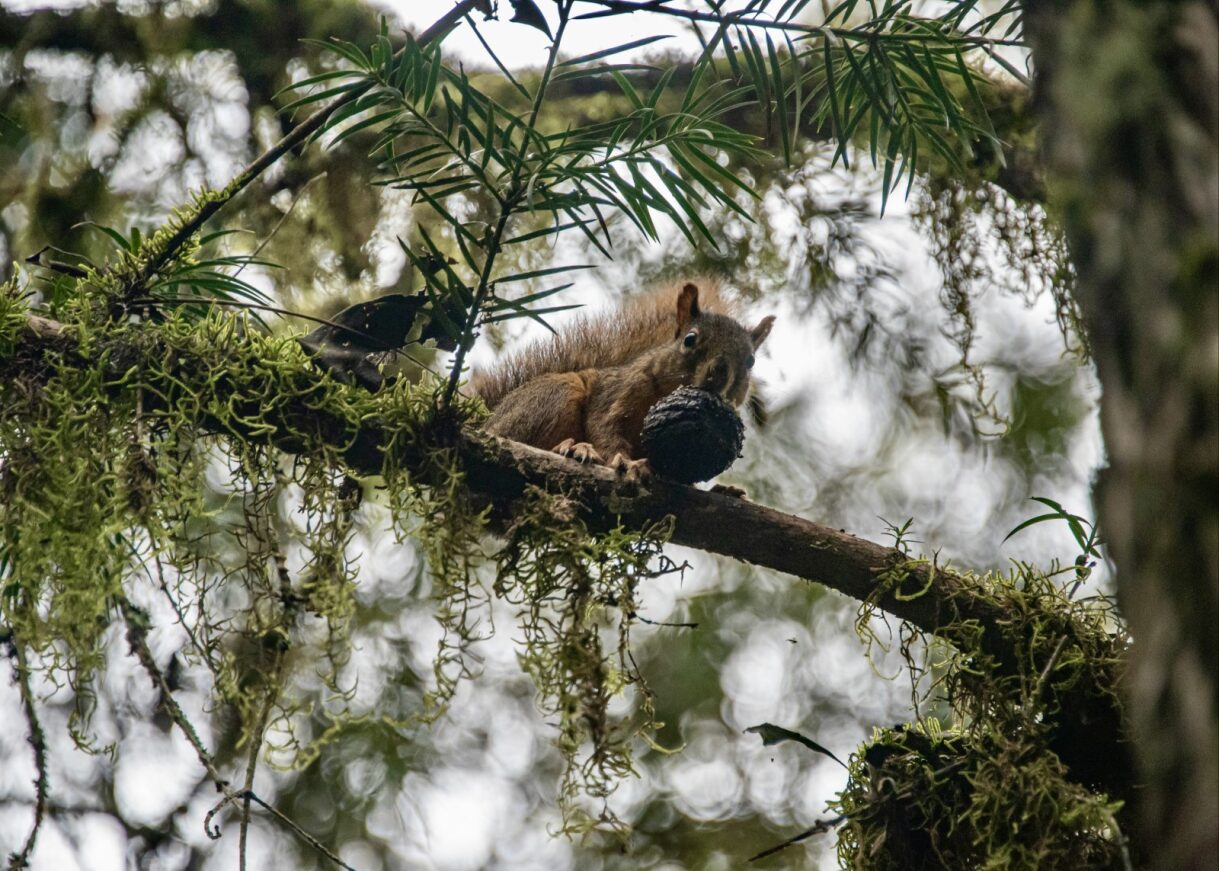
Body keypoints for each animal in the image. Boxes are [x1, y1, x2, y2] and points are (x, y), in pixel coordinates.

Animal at [470, 281, 775, 479]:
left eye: (751, 361)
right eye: (690, 340)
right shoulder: (617, 392)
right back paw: (571, 447)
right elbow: (604, 425)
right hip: (552, 395)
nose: (719, 374)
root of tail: (488, 420)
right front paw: (626, 462)